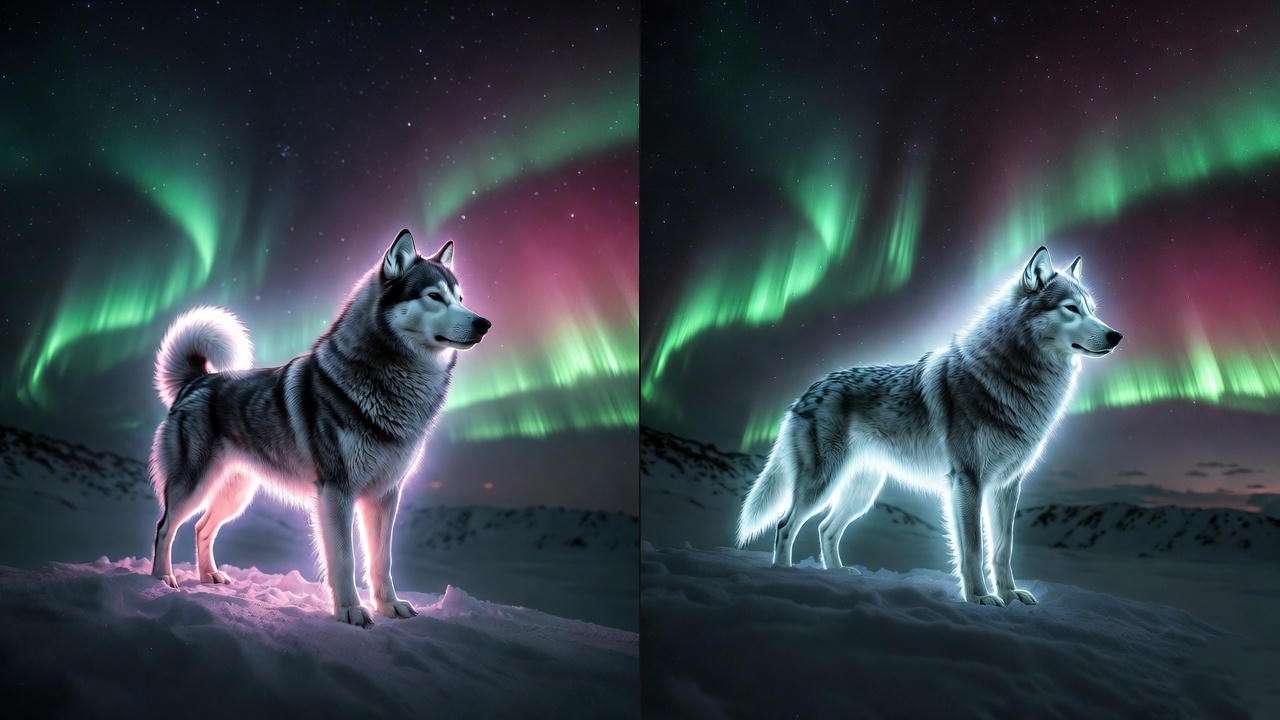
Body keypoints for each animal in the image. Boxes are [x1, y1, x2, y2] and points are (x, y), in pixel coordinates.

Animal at [149, 229, 490, 626]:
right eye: (434, 297)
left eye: (460, 298)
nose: (483, 323)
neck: (392, 382)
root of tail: (197, 380)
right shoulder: (336, 491)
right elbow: (344, 559)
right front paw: (351, 612)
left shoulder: (386, 494)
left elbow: (381, 560)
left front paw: (390, 607)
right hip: (192, 485)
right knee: (165, 527)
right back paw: (162, 580)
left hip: (236, 492)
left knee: (203, 527)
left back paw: (209, 577)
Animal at [736, 246, 1120, 606]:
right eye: (1071, 308)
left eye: (1092, 309)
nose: (1116, 335)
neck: (1015, 379)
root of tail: (807, 392)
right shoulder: (967, 481)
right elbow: (973, 549)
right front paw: (980, 599)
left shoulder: (1008, 485)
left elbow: (1003, 549)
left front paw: (1010, 596)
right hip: (822, 484)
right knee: (785, 525)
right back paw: (784, 574)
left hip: (861, 493)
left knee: (825, 529)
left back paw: (839, 576)